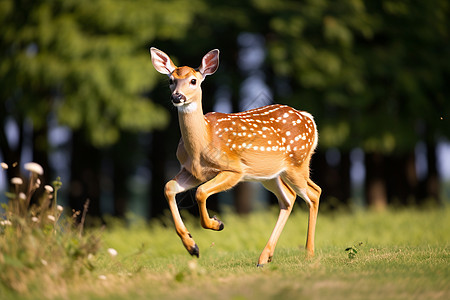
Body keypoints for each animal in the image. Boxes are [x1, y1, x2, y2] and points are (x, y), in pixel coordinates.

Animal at [150, 48, 320, 266]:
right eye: (171, 80)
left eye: (193, 81)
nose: (177, 96)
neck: (202, 143)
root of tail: (309, 118)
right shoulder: (192, 171)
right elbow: (169, 187)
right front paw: (192, 247)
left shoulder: (235, 169)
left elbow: (201, 192)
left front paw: (217, 224)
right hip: (270, 174)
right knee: (289, 198)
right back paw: (265, 257)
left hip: (297, 164)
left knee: (314, 193)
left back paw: (308, 254)